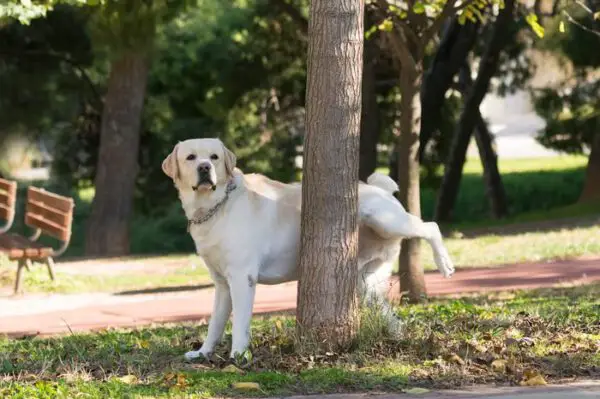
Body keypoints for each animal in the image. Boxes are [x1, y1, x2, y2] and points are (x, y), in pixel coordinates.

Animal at [162, 138, 452, 362]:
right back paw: (398, 337)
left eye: (214, 157)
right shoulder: (222, 284)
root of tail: (380, 189)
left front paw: (238, 356)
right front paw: (203, 353)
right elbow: (215, 323)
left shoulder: (243, 279)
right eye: (190, 157)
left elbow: (240, 323)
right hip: (365, 281)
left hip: (385, 219)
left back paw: (445, 263)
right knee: (391, 315)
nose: (204, 167)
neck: (215, 206)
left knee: (431, 226)